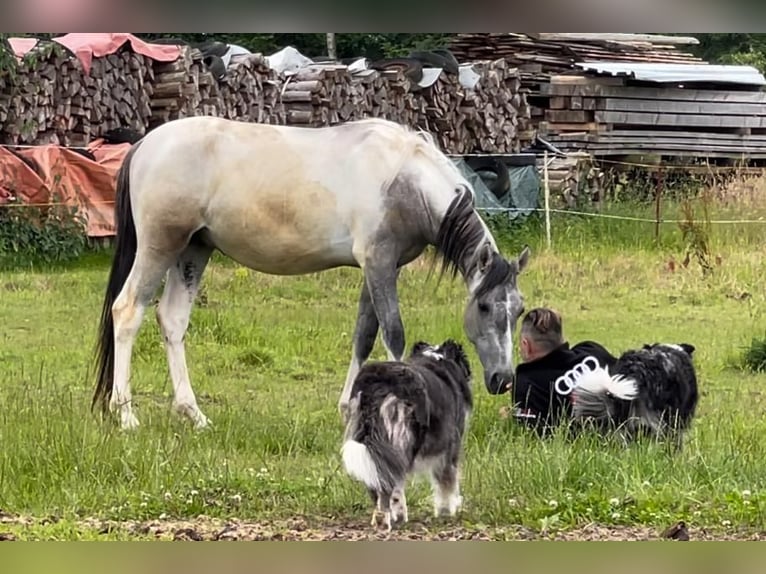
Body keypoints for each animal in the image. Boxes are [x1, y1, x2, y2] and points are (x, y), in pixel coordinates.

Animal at [342, 340, 474, 532]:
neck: (437, 358)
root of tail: (378, 381)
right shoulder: (451, 445)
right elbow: (447, 481)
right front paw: (447, 511)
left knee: (380, 479)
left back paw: (388, 516)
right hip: (402, 437)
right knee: (391, 481)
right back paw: (386, 518)